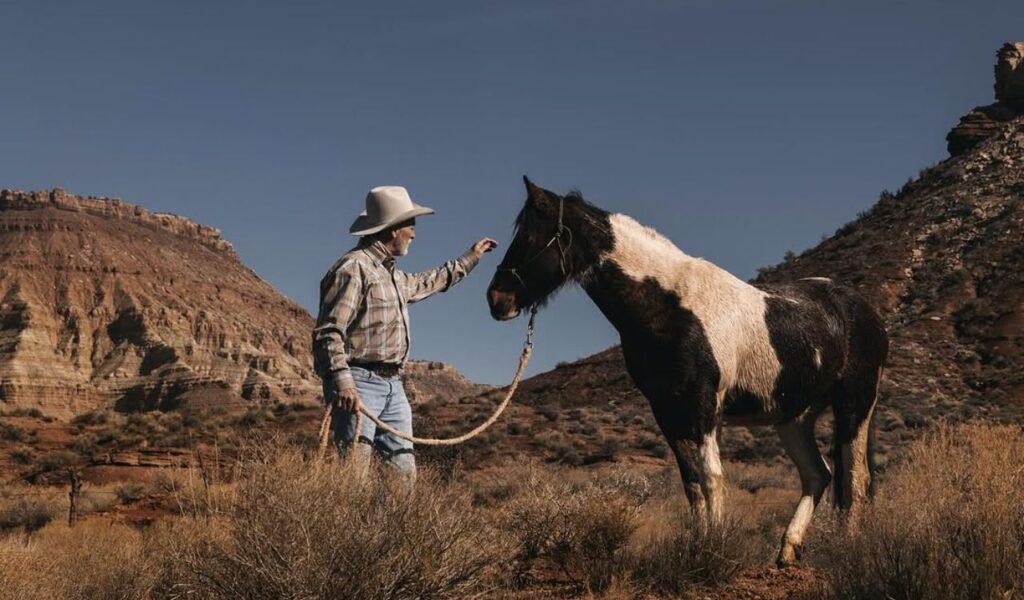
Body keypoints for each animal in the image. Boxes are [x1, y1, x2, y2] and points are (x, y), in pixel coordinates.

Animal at [486, 177, 888, 566]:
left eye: (527, 236)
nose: (496, 299)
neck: (670, 306)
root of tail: (862, 309)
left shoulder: (703, 403)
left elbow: (712, 477)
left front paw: (713, 550)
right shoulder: (666, 409)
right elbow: (691, 482)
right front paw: (696, 547)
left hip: (855, 405)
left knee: (856, 478)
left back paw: (848, 550)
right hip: (794, 417)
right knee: (818, 476)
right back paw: (788, 551)